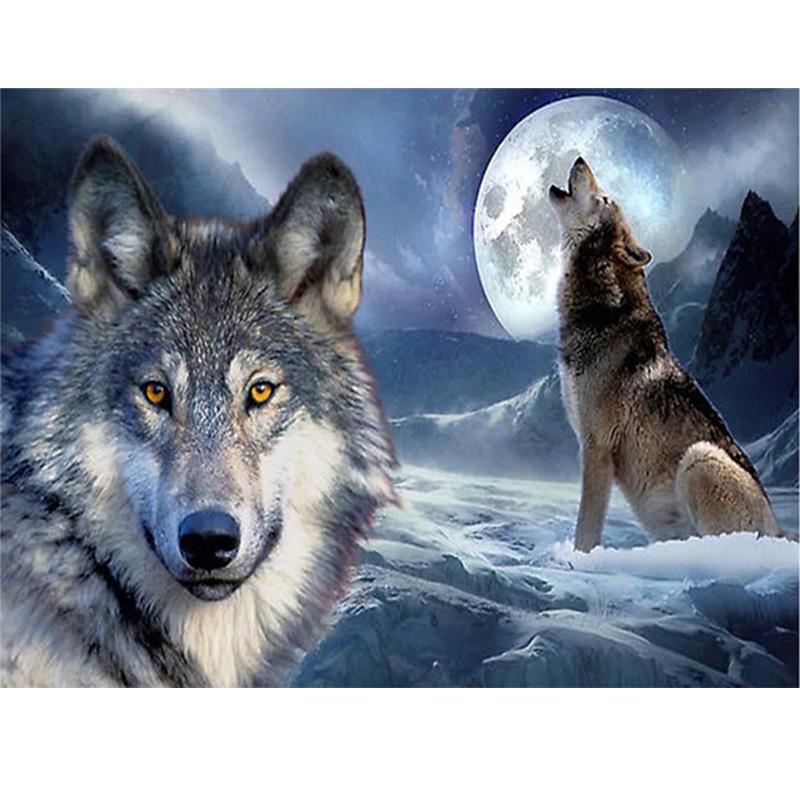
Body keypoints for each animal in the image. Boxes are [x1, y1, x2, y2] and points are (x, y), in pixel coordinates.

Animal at [549, 157, 781, 552]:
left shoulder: (596, 447)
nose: (580, 158)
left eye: (605, 198)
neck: (601, 311)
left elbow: (586, 529)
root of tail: (782, 533)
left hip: (699, 458)